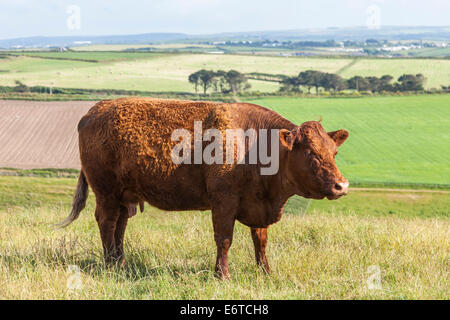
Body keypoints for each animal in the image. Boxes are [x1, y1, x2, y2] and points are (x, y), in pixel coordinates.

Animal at [59, 97, 348, 278]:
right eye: (311, 153)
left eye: (334, 152)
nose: (341, 185)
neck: (255, 144)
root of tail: (95, 110)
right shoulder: (223, 202)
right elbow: (224, 239)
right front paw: (222, 275)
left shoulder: (258, 204)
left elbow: (260, 240)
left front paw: (265, 272)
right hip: (106, 192)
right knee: (107, 223)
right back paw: (110, 264)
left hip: (123, 195)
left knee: (120, 225)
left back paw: (120, 262)